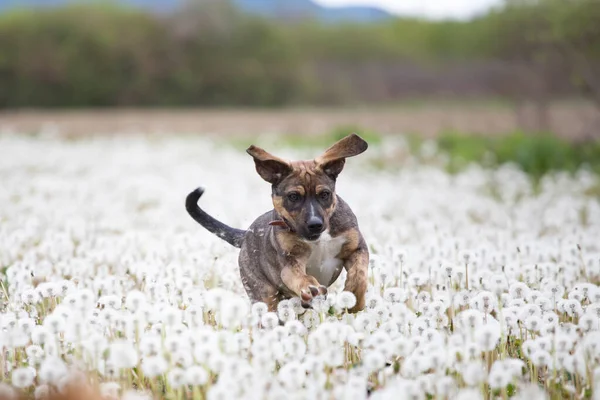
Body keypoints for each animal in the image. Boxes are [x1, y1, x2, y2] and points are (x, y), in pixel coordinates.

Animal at [185, 134, 368, 312]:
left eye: (325, 194)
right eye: (293, 196)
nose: (315, 224)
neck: (319, 239)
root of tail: (245, 235)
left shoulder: (357, 247)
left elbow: (359, 274)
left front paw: (355, 300)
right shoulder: (289, 263)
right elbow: (300, 276)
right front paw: (310, 288)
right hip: (264, 293)